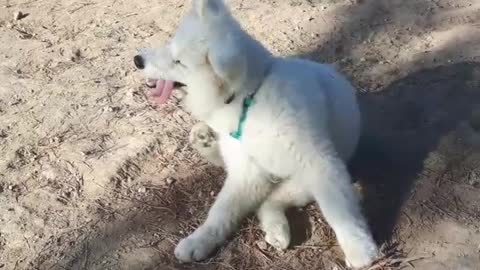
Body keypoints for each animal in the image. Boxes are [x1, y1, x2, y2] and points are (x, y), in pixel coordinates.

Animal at [133, 0, 376, 266]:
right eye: (169, 45)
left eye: (179, 62)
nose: (137, 60)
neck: (250, 100)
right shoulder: (245, 173)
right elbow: (221, 211)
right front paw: (199, 240)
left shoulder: (320, 164)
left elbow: (340, 211)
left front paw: (359, 248)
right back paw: (203, 141)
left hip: (302, 181)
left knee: (271, 201)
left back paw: (277, 229)